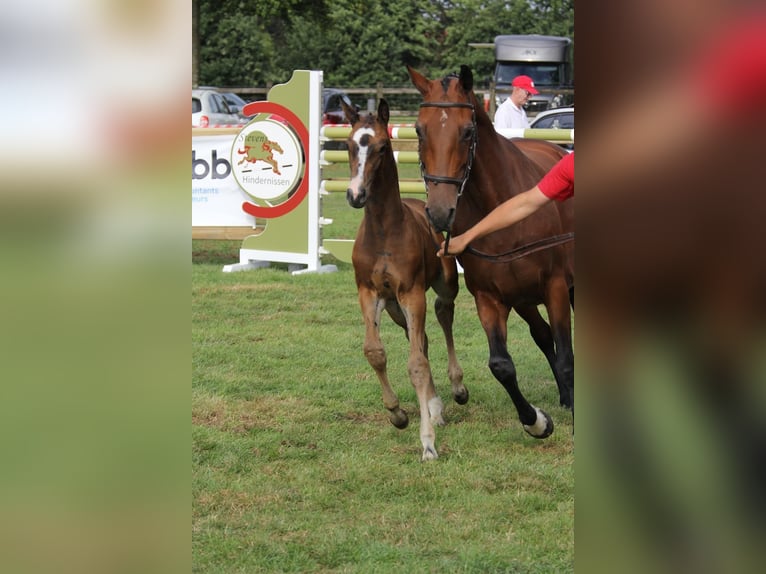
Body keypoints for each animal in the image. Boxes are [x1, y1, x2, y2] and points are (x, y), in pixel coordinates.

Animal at [340, 99, 468, 464]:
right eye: (349, 144)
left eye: (383, 146)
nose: (356, 195)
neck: (384, 231)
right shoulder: (369, 293)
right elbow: (375, 352)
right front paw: (397, 414)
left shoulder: (412, 293)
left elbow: (417, 365)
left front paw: (428, 443)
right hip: (396, 308)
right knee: (420, 339)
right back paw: (434, 405)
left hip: (442, 288)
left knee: (443, 316)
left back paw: (456, 389)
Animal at [412, 64, 572, 440]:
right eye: (419, 129)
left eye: (468, 131)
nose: (439, 212)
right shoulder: (489, 297)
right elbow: (501, 365)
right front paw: (536, 421)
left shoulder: (556, 287)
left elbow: (566, 358)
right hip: (523, 298)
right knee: (542, 335)